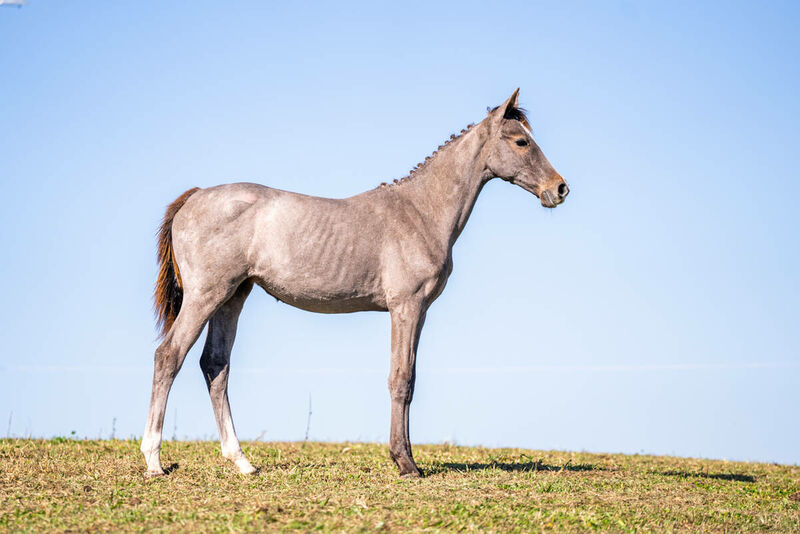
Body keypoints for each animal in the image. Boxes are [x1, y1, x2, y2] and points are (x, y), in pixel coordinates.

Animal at [142, 90, 568, 480]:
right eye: (521, 141)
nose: (560, 188)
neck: (419, 212)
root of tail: (195, 196)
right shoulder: (405, 307)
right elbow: (401, 380)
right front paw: (406, 463)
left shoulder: (419, 312)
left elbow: (410, 379)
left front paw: (406, 459)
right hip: (205, 296)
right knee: (169, 357)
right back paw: (154, 460)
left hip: (233, 297)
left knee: (215, 365)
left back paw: (242, 462)